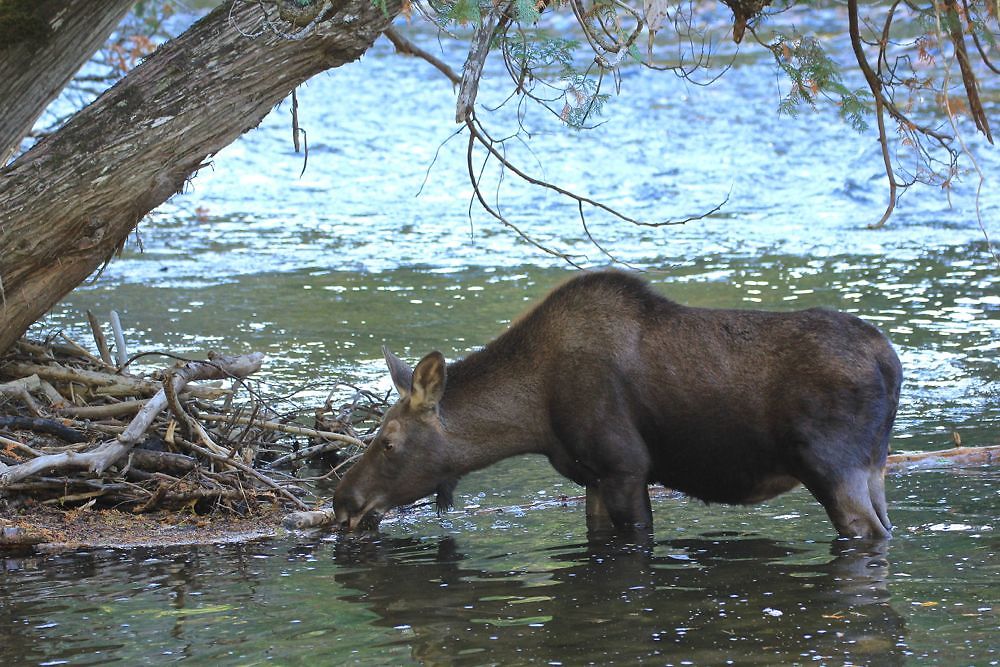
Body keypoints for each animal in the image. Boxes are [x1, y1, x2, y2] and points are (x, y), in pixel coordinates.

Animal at [332, 272, 904, 544]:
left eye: (388, 442)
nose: (342, 501)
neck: (533, 418)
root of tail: (890, 361)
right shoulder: (592, 476)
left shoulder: (626, 465)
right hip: (873, 467)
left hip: (832, 466)